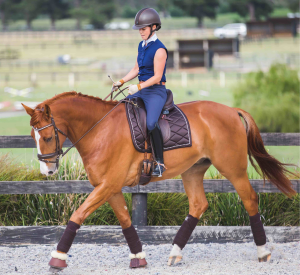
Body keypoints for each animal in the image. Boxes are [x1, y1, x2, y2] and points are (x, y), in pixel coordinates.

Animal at [21, 91, 298, 272]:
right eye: (33, 136)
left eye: (47, 136)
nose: (47, 170)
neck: (100, 129)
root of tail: (231, 110)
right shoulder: (109, 187)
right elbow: (125, 219)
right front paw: (139, 257)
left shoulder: (108, 185)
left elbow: (78, 214)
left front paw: (58, 258)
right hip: (193, 171)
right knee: (198, 205)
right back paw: (175, 253)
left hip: (233, 169)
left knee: (249, 199)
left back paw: (263, 252)